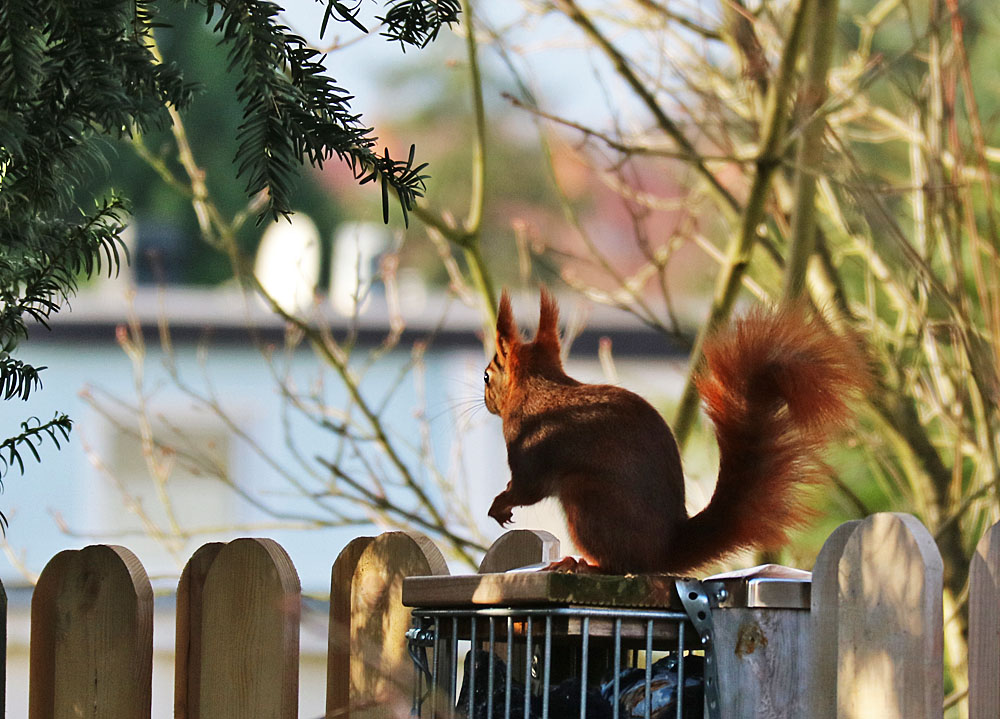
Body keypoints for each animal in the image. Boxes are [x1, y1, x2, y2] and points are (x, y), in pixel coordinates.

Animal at [484, 290, 868, 576]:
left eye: (487, 376)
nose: (485, 400)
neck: (537, 387)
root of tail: (666, 550)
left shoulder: (530, 446)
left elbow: (528, 487)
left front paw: (500, 504)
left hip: (588, 503)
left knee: (622, 564)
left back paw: (581, 564)